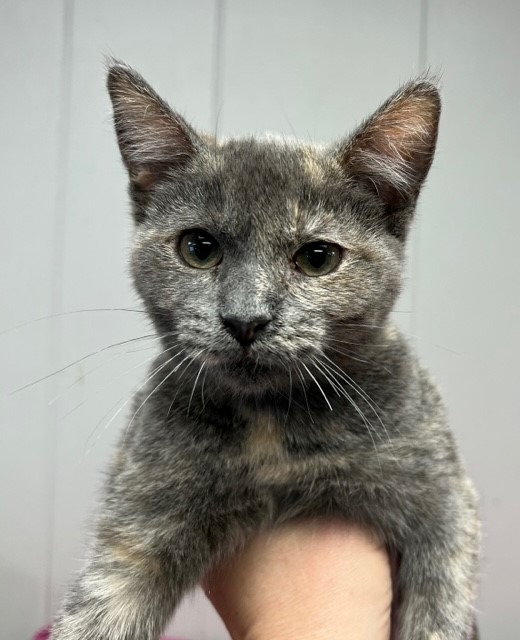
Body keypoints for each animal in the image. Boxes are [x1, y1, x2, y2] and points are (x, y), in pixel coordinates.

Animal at [50, 61, 482, 640]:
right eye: (198, 248)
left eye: (318, 257)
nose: (245, 320)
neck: (272, 426)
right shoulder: (139, 517)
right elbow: (98, 609)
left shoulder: (445, 499)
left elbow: (441, 607)